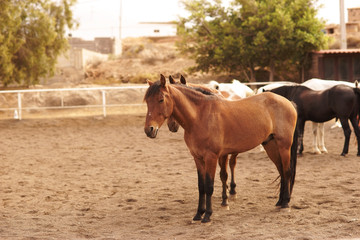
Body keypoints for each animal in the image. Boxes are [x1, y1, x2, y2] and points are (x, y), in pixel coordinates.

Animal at [143, 74, 298, 222]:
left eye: (161, 99)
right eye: (147, 101)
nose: (149, 129)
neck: (200, 117)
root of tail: (287, 102)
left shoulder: (211, 157)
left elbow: (210, 186)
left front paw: (207, 216)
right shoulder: (198, 158)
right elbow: (201, 186)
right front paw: (198, 214)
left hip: (284, 146)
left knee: (287, 171)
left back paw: (286, 204)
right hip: (271, 146)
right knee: (281, 171)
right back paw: (279, 202)